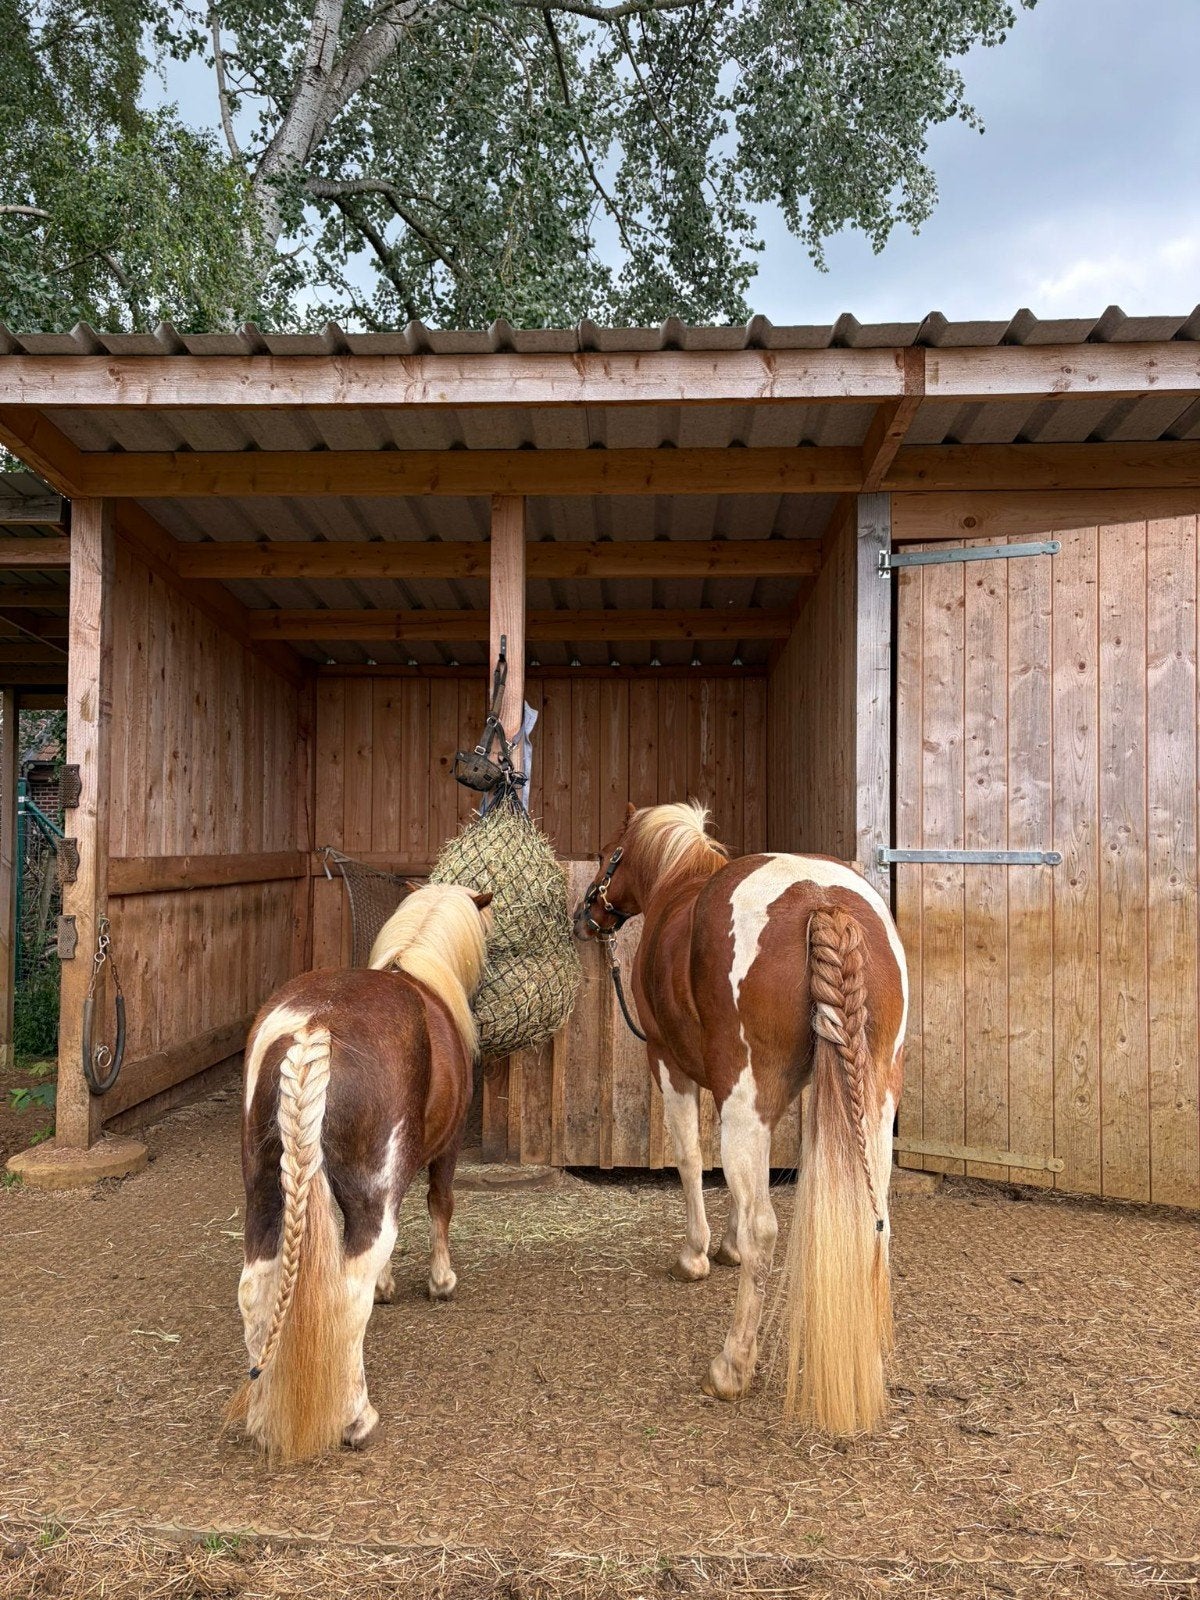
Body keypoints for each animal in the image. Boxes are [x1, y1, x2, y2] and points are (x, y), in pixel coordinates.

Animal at [229, 882, 493, 1464]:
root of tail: (314, 1028)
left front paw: (391, 1284)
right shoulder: (445, 1149)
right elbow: (440, 1205)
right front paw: (440, 1281)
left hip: (263, 1191)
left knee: (255, 1286)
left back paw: (261, 1416)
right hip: (369, 1196)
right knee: (350, 1293)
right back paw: (357, 1419)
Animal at [574, 802, 907, 1435]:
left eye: (608, 855)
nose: (585, 916)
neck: (676, 888)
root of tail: (824, 902)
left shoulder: (671, 1066)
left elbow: (690, 1159)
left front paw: (697, 1254)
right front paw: (723, 1246)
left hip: (750, 1100)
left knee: (765, 1231)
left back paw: (731, 1365)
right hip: (873, 1101)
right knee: (875, 1216)